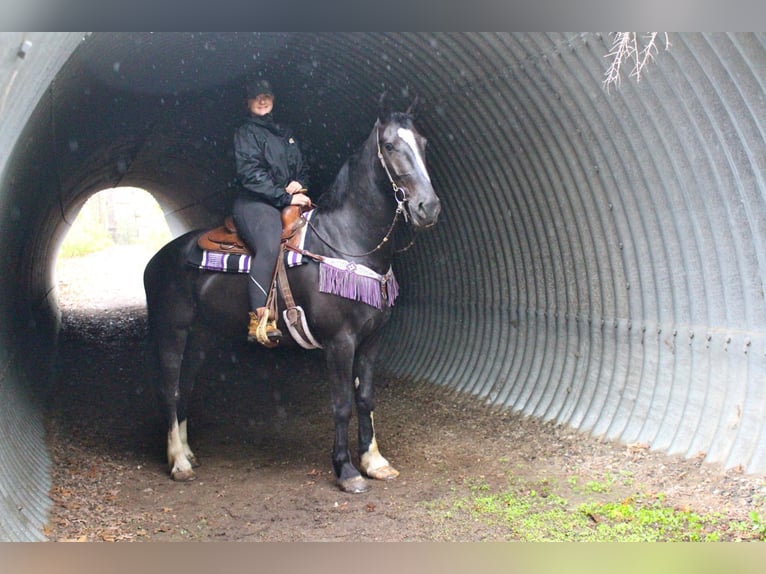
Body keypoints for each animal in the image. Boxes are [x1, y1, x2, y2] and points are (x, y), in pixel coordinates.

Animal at [144, 99, 440, 496]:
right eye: (391, 146)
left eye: (423, 144)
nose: (428, 207)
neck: (346, 240)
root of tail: (157, 259)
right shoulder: (339, 341)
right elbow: (342, 403)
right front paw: (347, 470)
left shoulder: (372, 340)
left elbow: (365, 397)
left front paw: (375, 461)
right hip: (171, 330)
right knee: (170, 389)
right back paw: (178, 462)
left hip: (200, 335)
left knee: (186, 386)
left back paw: (188, 453)